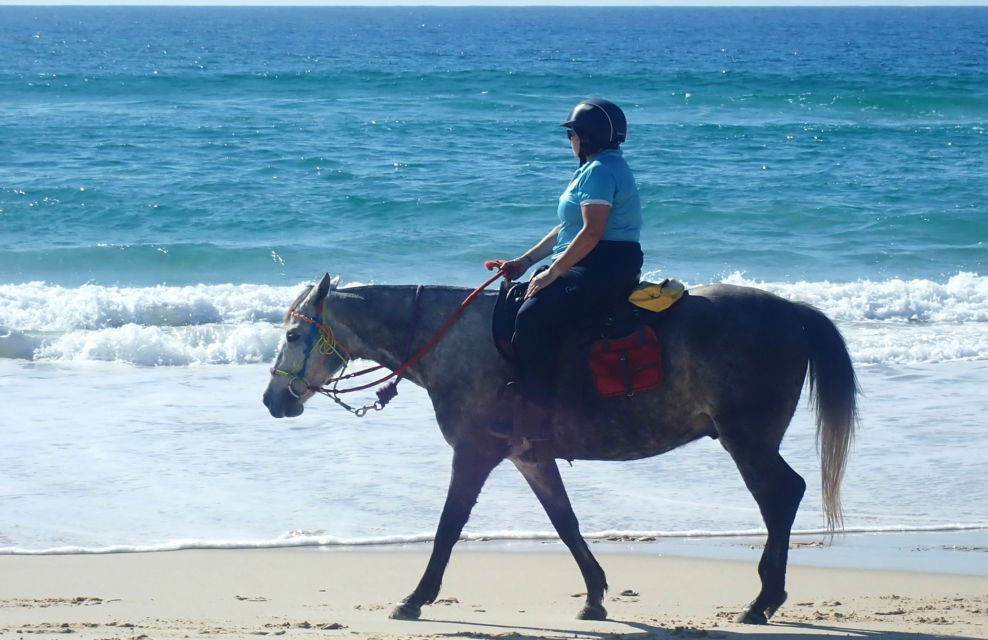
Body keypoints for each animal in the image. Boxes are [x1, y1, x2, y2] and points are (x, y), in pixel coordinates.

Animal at [262, 273, 857, 625]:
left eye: (292, 336)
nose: (272, 400)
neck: (455, 343)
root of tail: (791, 310)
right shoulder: (530, 455)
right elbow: (565, 522)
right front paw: (595, 595)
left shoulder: (475, 452)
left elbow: (449, 526)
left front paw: (415, 597)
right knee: (782, 497)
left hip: (747, 439)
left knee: (781, 497)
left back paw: (763, 600)